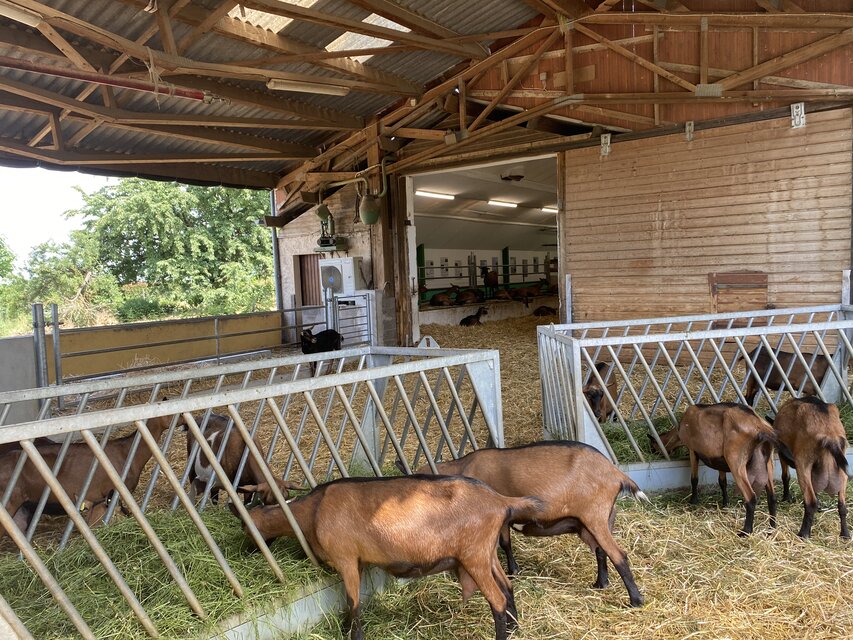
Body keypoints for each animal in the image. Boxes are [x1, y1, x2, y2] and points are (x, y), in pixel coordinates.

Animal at [235, 475, 543, 640]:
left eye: (245, 528)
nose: (246, 551)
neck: (312, 511)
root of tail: (500, 501)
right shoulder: (357, 563)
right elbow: (349, 603)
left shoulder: (346, 559)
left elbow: (353, 604)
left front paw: (354, 634)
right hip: (486, 554)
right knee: (508, 587)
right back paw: (516, 628)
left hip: (474, 556)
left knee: (498, 600)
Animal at [411, 441, 646, 607]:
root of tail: (615, 473)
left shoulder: (498, 518)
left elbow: (504, 544)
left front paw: (513, 571)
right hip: (600, 520)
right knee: (600, 550)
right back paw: (600, 584)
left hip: (594, 516)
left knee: (618, 554)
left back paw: (635, 601)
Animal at [676, 403, 785, 535]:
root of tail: (760, 426)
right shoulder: (720, 460)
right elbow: (722, 482)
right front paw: (725, 503)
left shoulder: (692, 450)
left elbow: (694, 478)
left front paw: (693, 500)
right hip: (768, 462)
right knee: (772, 497)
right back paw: (772, 528)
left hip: (735, 459)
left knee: (751, 497)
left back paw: (745, 532)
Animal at [771, 396, 849, 539]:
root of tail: (830, 436)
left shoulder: (782, 453)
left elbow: (785, 476)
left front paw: (786, 497)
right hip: (842, 470)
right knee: (842, 505)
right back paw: (845, 534)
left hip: (803, 464)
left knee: (811, 502)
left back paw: (803, 534)